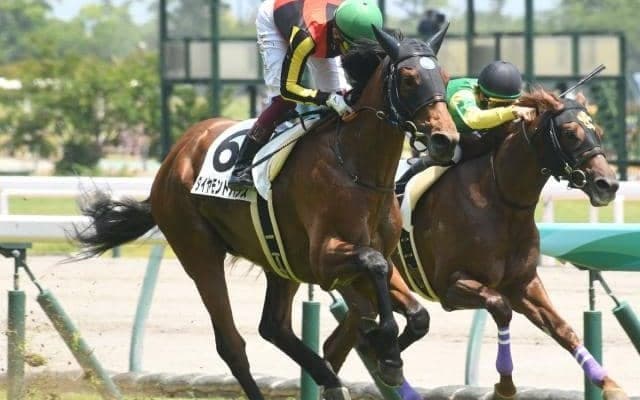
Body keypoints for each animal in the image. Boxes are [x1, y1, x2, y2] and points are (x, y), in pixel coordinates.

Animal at [71, 25, 459, 400]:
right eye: (408, 78)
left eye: (443, 76)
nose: (446, 140)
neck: (357, 168)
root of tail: (172, 160)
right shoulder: (325, 258)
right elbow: (375, 268)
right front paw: (386, 351)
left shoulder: (364, 256)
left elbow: (417, 313)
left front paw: (383, 352)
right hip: (199, 252)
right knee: (232, 345)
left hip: (281, 261)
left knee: (273, 326)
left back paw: (328, 377)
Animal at [389, 88, 628, 399]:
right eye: (570, 133)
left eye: (598, 131)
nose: (608, 185)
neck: (501, 201)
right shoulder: (450, 285)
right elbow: (500, 307)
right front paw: (504, 383)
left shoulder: (523, 284)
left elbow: (562, 328)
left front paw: (609, 383)